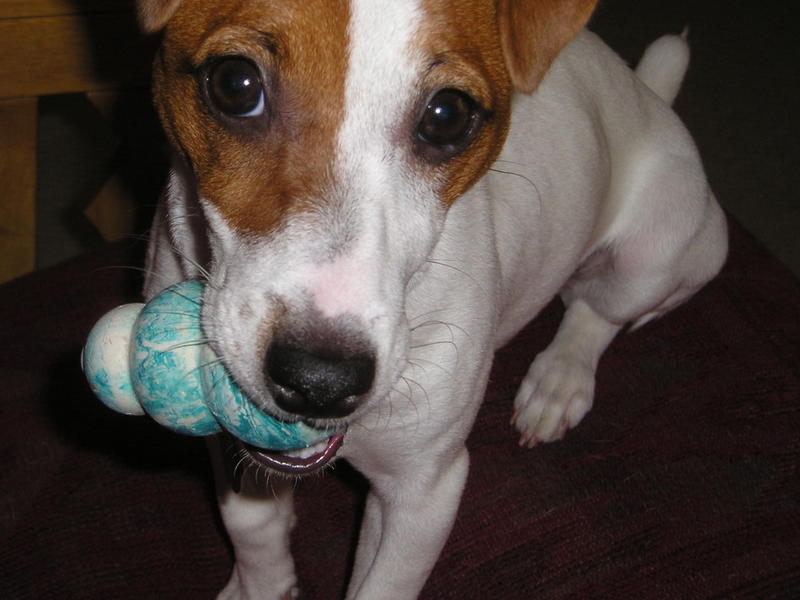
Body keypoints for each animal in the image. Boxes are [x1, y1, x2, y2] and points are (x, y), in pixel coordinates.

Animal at [139, 1, 732, 600]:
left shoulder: (424, 492)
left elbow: (384, 585)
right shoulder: (229, 438)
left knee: (600, 312)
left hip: (658, 252)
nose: (319, 382)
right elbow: (249, 519)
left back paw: (559, 380)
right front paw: (261, 582)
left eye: (447, 115)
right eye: (234, 84)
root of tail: (646, 92)